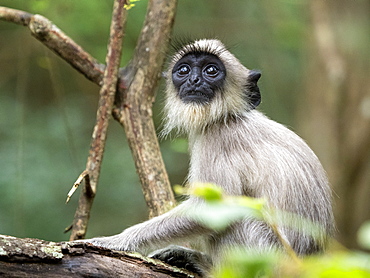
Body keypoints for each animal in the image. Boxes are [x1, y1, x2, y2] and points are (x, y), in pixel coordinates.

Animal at [80, 39, 336, 276]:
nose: (194, 80)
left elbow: (213, 207)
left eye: (211, 70)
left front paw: (114, 241)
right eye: (184, 70)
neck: (229, 116)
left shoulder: (219, 139)